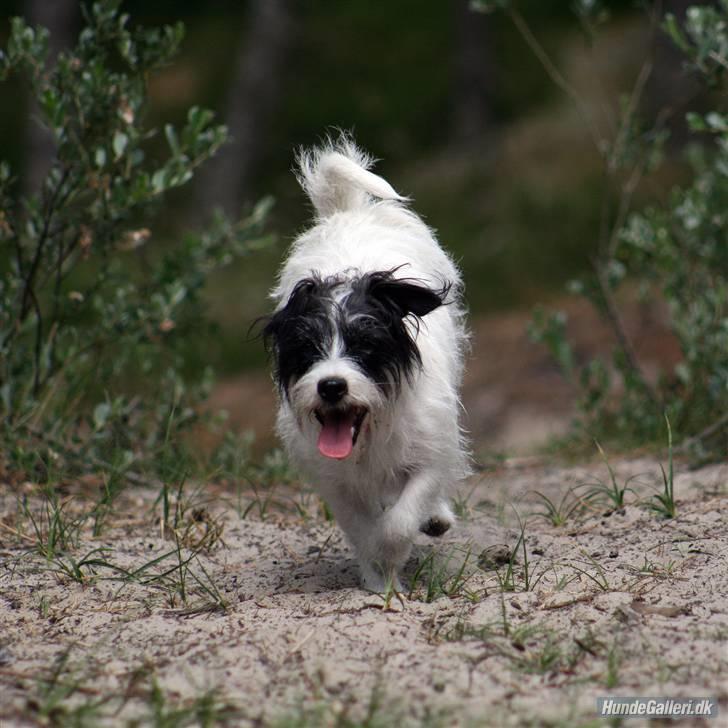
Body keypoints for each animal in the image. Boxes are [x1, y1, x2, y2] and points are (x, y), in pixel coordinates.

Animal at [264, 136, 470, 592]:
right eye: (308, 350)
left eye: (365, 347)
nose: (331, 386)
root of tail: (349, 212)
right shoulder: (337, 483)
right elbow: (361, 529)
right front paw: (379, 582)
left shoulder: (429, 454)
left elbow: (399, 522)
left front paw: (392, 562)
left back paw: (436, 518)